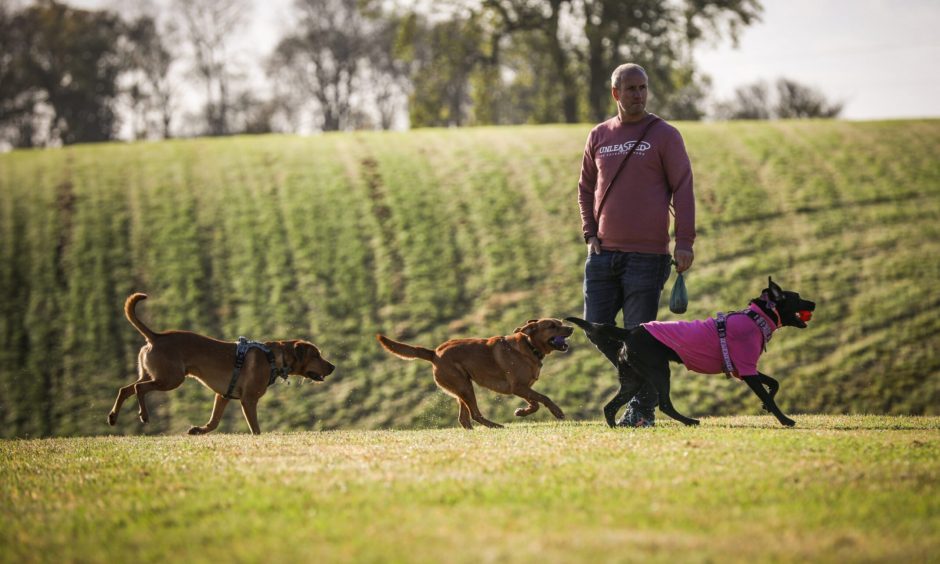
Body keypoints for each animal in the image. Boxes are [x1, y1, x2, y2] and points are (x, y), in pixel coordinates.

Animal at [109, 294, 336, 434]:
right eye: (316, 355)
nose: (332, 367)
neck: (273, 357)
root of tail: (155, 337)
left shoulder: (223, 395)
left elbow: (214, 422)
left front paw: (198, 430)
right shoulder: (248, 400)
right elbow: (256, 429)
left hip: (154, 374)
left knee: (125, 389)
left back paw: (112, 417)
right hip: (171, 379)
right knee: (139, 388)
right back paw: (144, 415)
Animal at [374, 320, 572, 430]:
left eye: (560, 322)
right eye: (552, 326)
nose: (571, 328)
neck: (529, 346)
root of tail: (434, 353)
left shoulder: (523, 388)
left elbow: (535, 404)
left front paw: (522, 411)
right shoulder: (517, 387)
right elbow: (543, 398)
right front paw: (557, 412)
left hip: (461, 389)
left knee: (463, 418)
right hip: (465, 387)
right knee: (475, 414)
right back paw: (496, 426)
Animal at [564, 276, 816, 428]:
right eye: (797, 297)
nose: (813, 303)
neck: (756, 318)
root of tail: (629, 332)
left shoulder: (745, 368)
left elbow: (774, 383)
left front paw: (769, 406)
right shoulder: (746, 371)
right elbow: (767, 394)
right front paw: (785, 420)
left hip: (632, 379)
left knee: (610, 406)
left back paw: (616, 428)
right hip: (659, 372)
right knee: (664, 404)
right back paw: (689, 421)